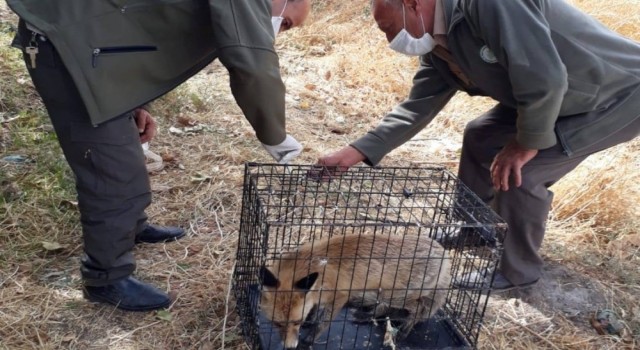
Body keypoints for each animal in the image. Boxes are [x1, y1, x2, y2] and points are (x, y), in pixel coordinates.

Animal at [258, 232, 450, 350]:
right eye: (277, 324)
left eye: (296, 322)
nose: (290, 347)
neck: (312, 264)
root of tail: (443, 251)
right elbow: (314, 310)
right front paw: (310, 320)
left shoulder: (340, 296)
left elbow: (322, 323)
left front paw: (308, 340)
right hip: (384, 292)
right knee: (385, 307)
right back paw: (365, 316)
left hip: (396, 295)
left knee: (418, 308)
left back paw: (403, 331)